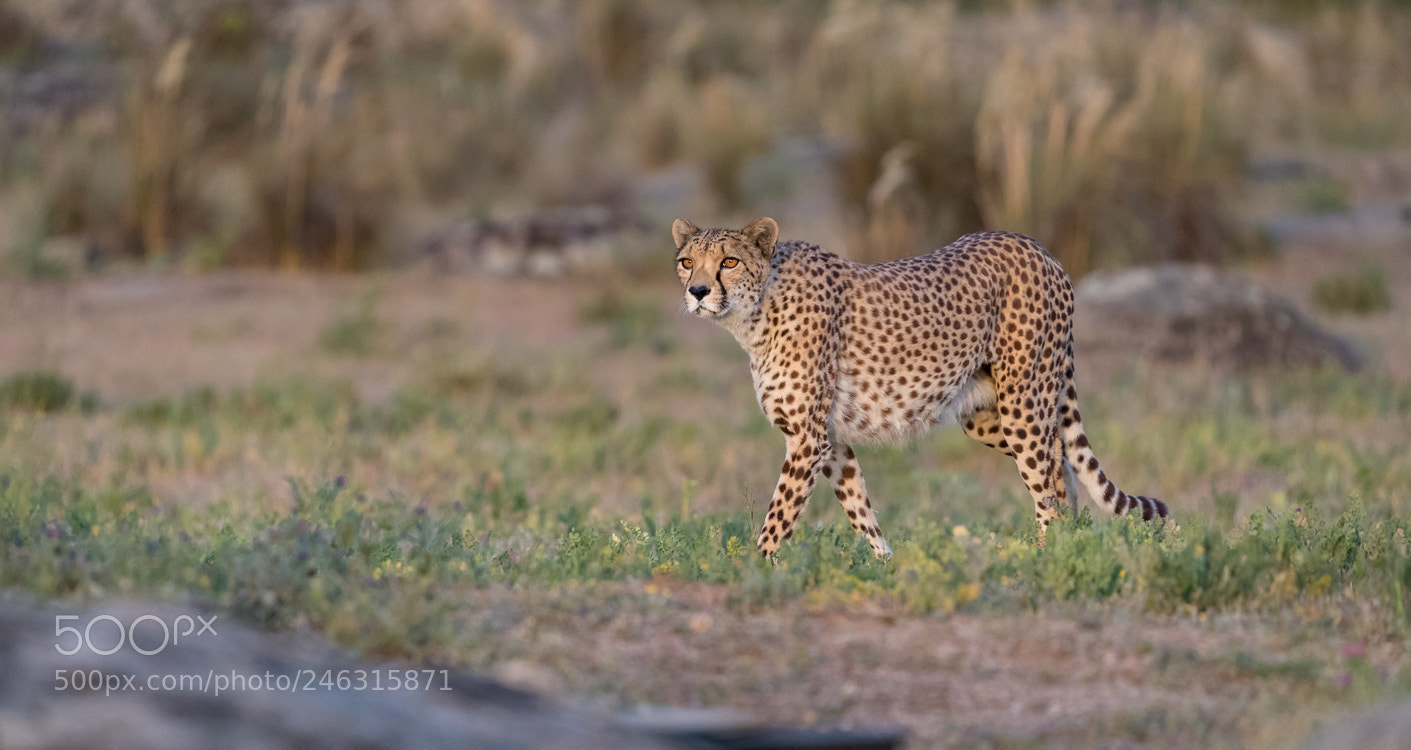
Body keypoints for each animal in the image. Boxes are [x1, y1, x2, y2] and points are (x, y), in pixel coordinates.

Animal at [672, 216, 1168, 558]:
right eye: (687, 262)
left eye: (729, 261)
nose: (697, 291)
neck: (756, 312)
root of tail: (1035, 245)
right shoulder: (828, 439)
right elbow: (859, 507)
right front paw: (884, 564)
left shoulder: (808, 438)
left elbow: (779, 516)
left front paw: (752, 568)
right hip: (986, 415)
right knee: (1062, 466)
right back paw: (1071, 547)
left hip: (1026, 403)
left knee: (1050, 484)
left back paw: (1047, 558)